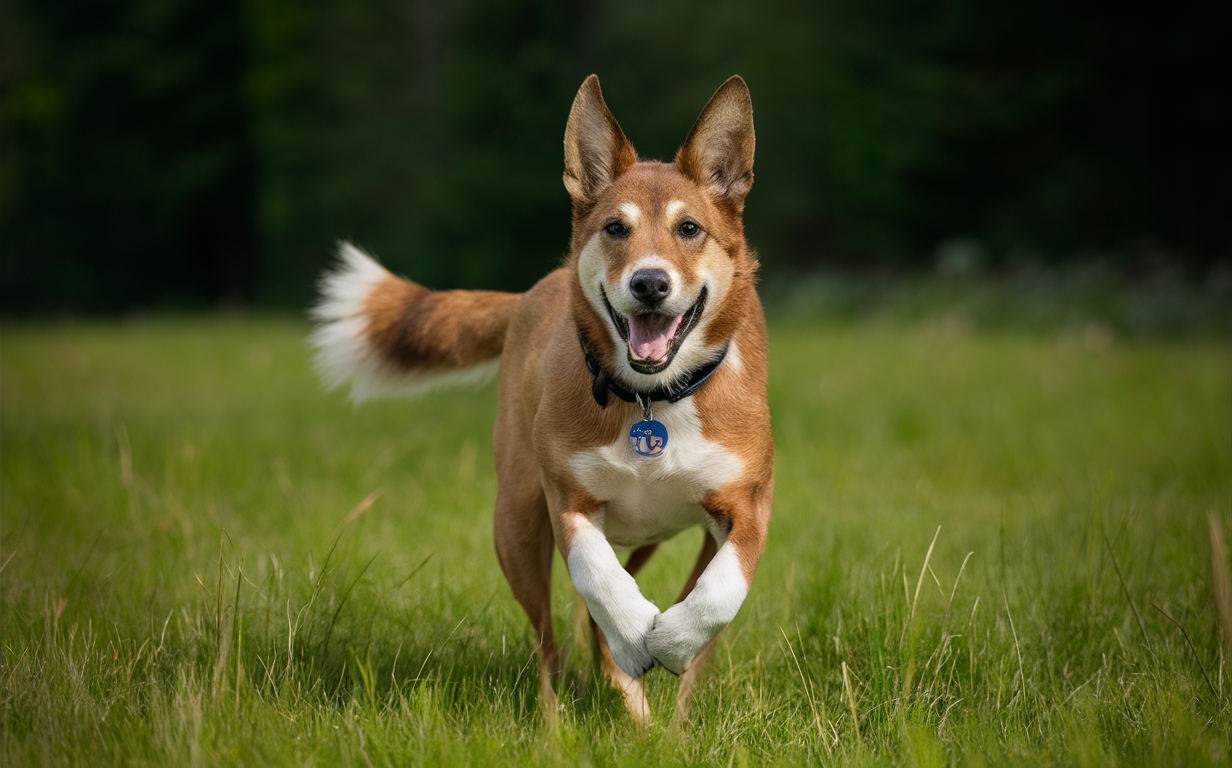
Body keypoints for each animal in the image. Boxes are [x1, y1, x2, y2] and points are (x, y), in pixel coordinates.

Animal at [310, 75, 768, 724]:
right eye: (615, 228)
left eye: (689, 229)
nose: (649, 283)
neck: (653, 402)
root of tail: (534, 290)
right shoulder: (567, 497)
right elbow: (596, 575)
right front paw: (636, 633)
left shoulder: (748, 502)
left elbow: (719, 590)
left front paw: (672, 649)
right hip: (516, 521)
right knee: (551, 643)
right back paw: (559, 720)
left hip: (648, 535)